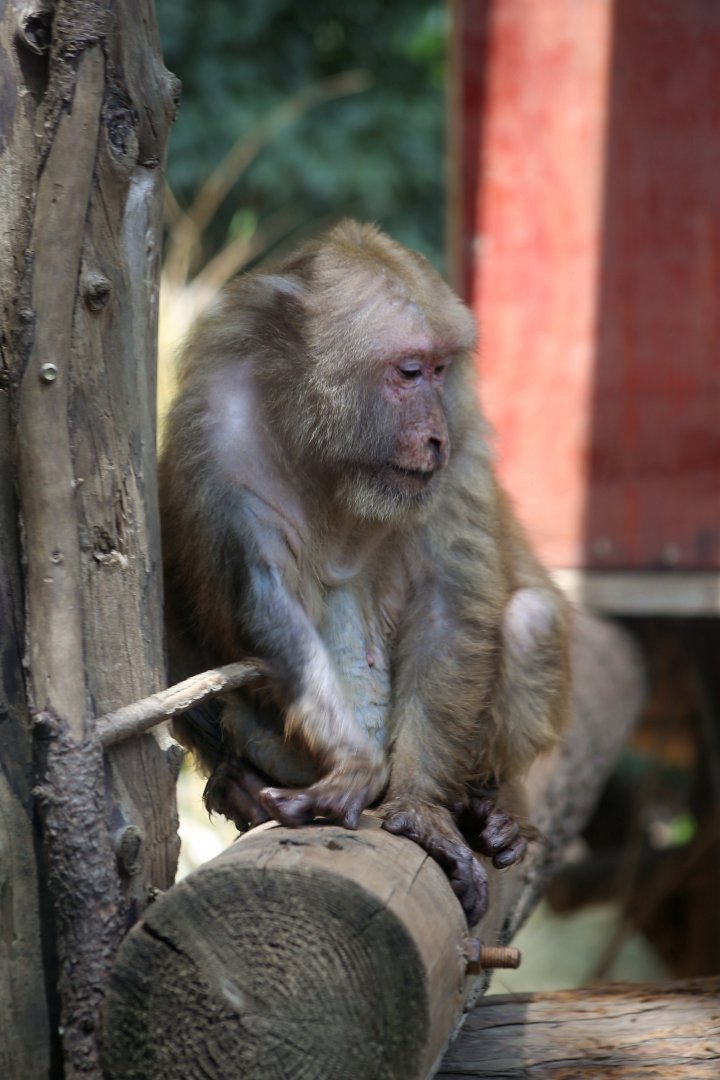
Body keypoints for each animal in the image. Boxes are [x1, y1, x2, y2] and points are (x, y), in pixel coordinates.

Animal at [159, 220, 570, 925]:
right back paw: (241, 784)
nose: (433, 436)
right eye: (409, 371)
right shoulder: (216, 428)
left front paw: (422, 809)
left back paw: (486, 808)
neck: (327, 447)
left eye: (440, 368)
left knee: (530, 618)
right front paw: (353, 762)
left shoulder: (462, 432)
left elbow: (448, 606)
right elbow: (265, 597)